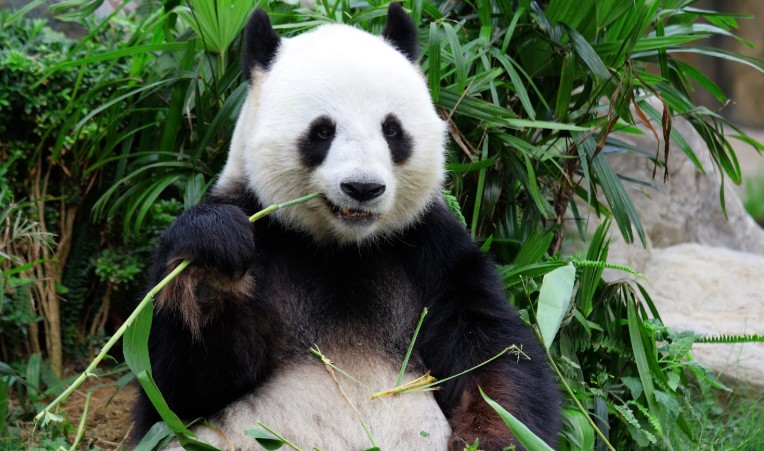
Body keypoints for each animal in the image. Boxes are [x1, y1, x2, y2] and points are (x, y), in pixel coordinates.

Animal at [134, 3, 560, 450]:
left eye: (392, 129)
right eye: (322, 130)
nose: (363, 187)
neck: (342, 248)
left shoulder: (431, 248)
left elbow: (493, 354)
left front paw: (494, 435)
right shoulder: (261, 226)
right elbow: (174, 389)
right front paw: (210, 265)